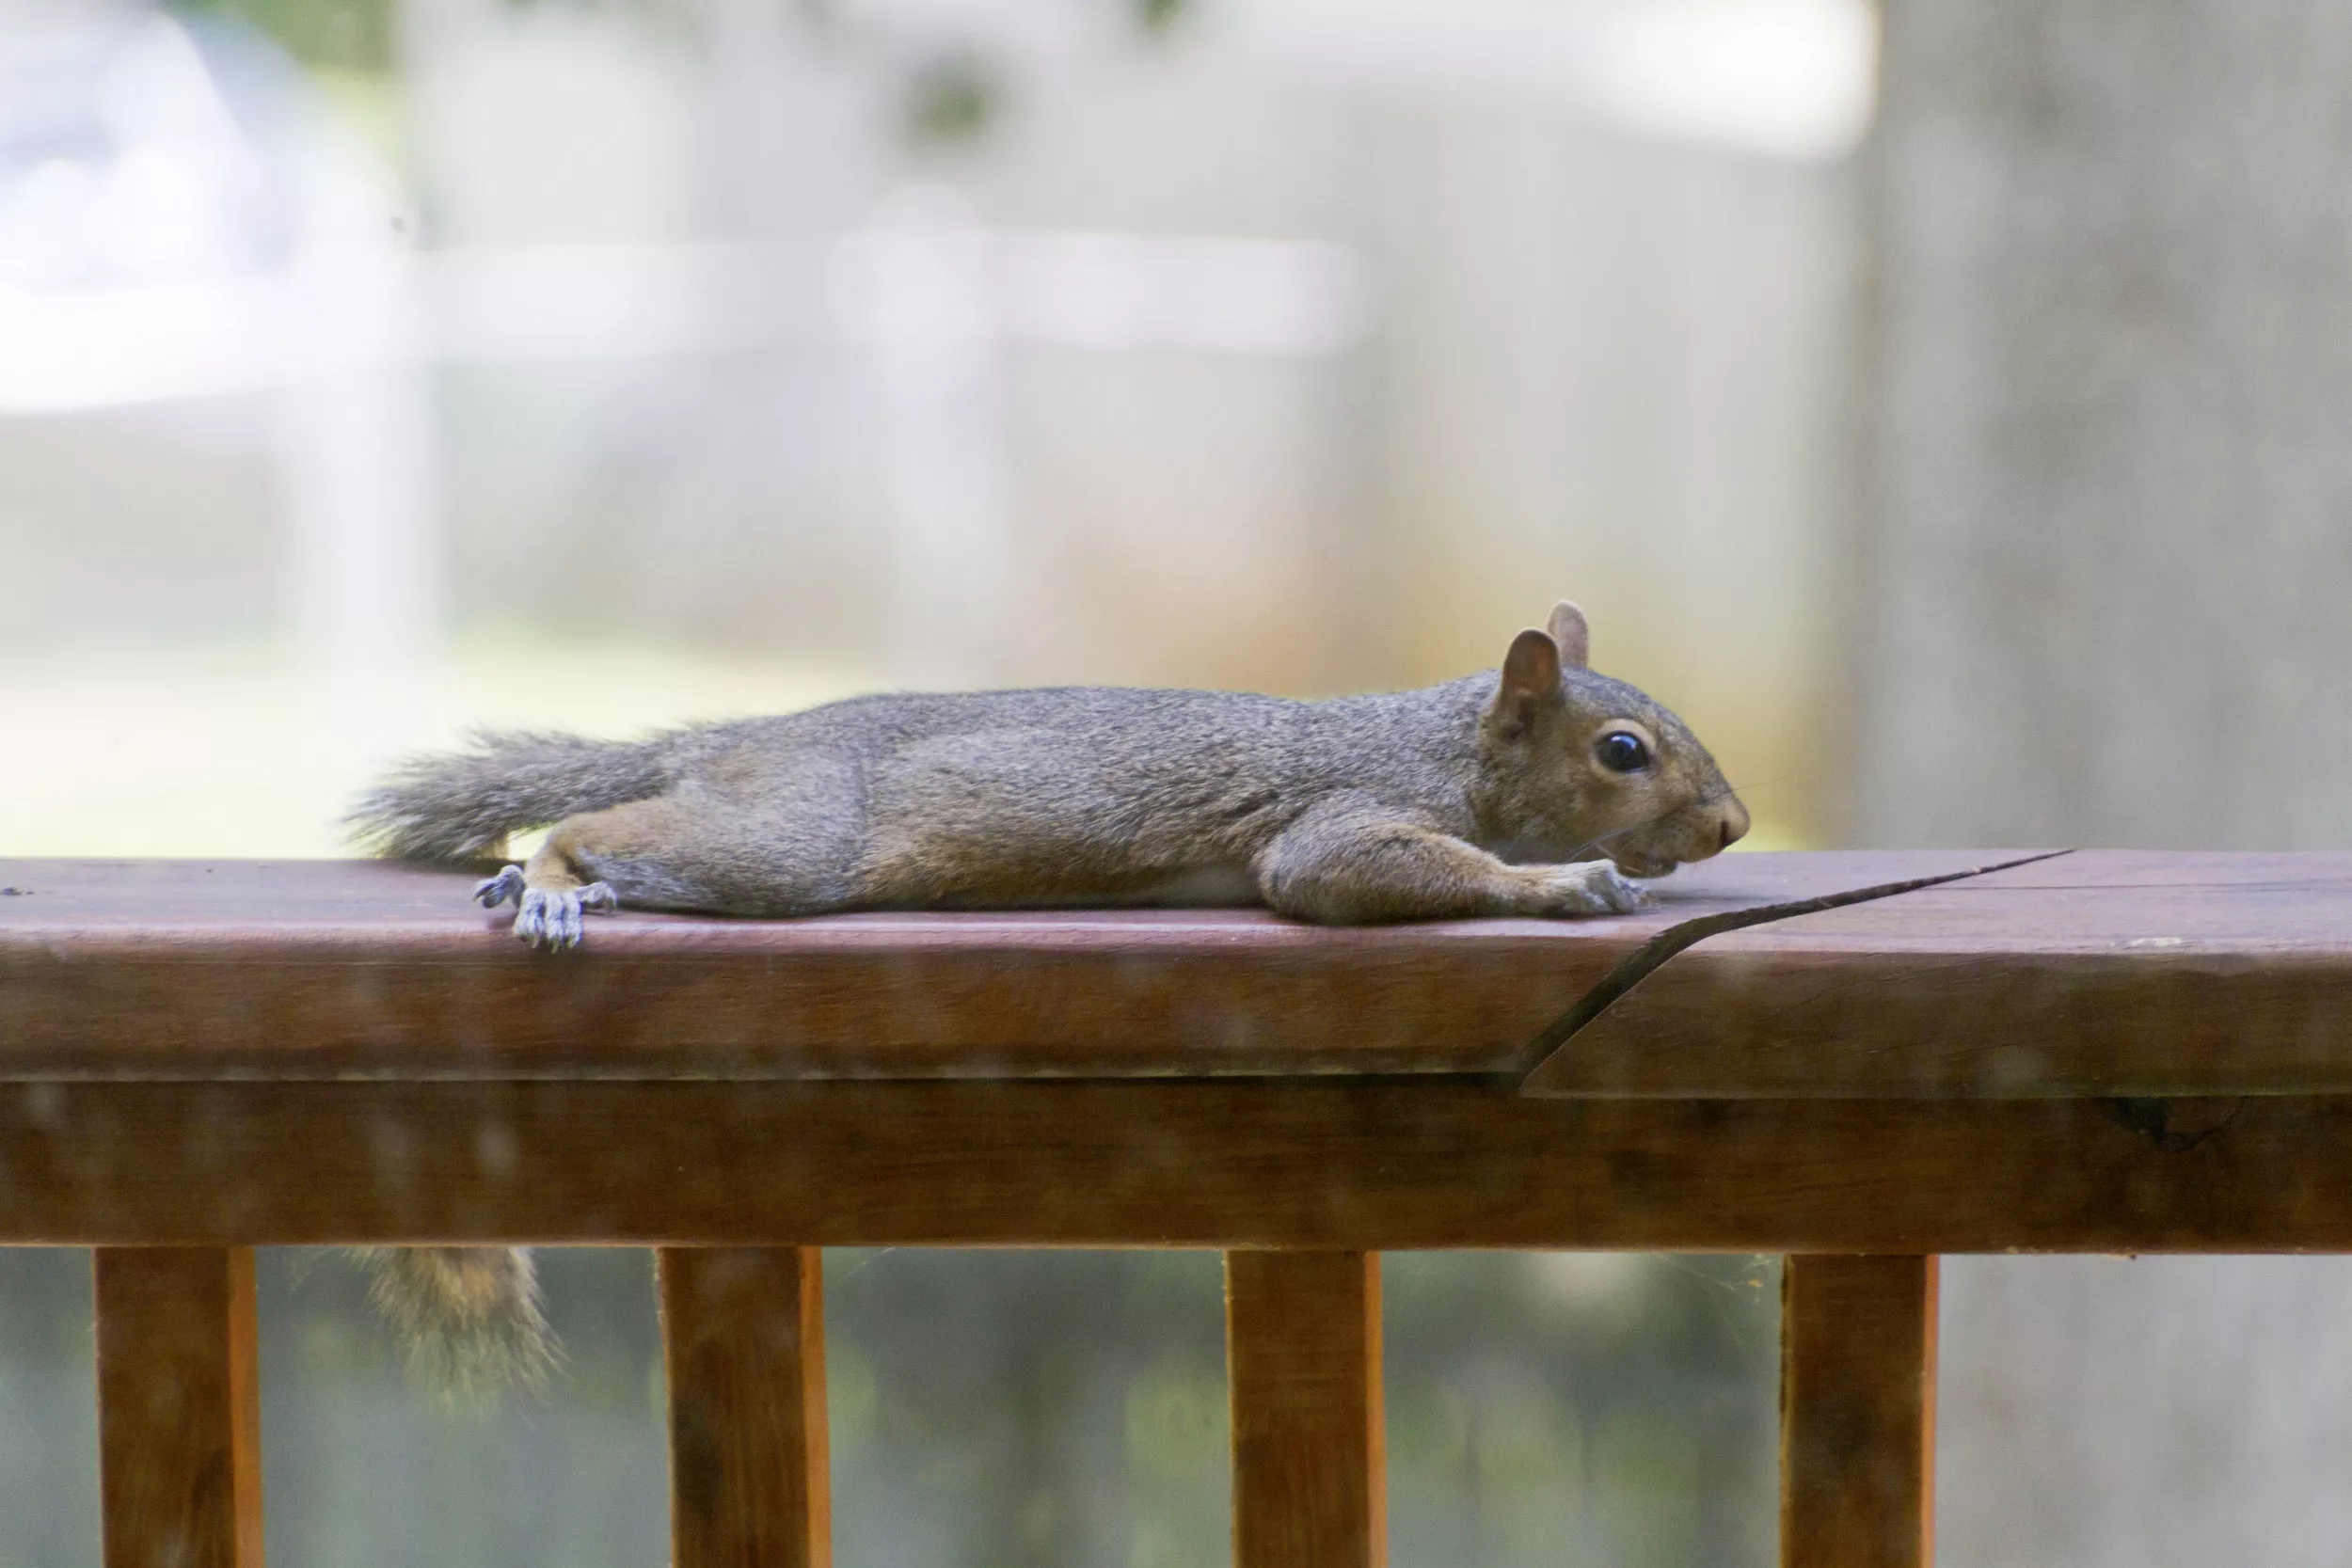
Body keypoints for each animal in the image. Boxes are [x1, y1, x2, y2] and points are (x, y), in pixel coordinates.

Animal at [344, 601, 1748, 1388]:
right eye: (1623, 751)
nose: (1734, 823)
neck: (1441, 747)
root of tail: (735, 741)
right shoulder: (1346, 819)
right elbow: (1355, 872)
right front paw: (1569, 880)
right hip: (786, 846)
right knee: (597, 826)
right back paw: (550, 879)